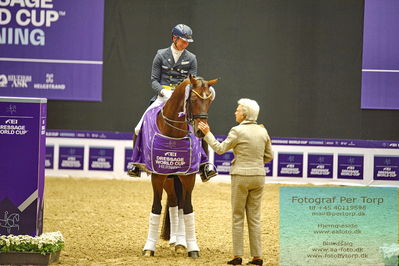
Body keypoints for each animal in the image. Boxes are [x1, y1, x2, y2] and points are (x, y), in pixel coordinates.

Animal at [133, 74, 217, 258]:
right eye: (192, 99)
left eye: (209, 101)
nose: (201, 131)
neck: (174, 132)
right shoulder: (158, 176)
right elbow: (156, 208)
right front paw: (149, 248)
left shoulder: (188, 176)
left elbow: (187, 208)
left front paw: (192, 248)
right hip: (169, 179)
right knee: (172, 202)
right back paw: (174, 240)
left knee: (179, 205)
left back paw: (180, 242)